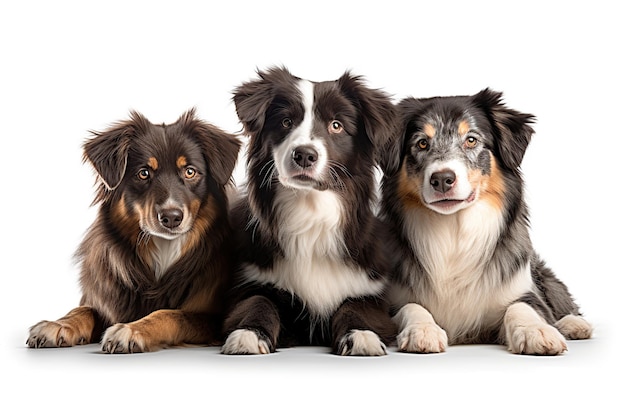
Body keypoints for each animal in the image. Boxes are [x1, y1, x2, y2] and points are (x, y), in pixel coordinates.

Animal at [219, 66, 394, 356]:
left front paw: (361, 335)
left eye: (336, 125)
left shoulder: (370, 288)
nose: (304, 155)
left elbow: (355, 306)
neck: (310, 212)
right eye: (286, 122)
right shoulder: (249, 282)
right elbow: (258, 302)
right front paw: (249, 334)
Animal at [380, 88, 588, 354]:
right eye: (422, 143)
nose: (442, 179)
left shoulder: (523, 290)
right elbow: (412, 306)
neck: (454, 229)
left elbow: (522, 307)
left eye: (471, 140)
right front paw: (423, 330)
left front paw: (536, 331)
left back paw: (574, 324)